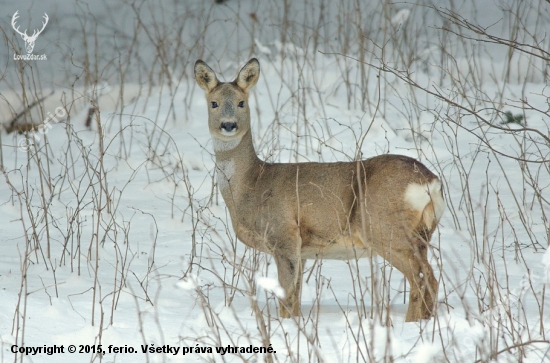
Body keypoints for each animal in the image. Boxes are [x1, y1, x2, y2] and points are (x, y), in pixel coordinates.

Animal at [196, 58, 446, 322]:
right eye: (214, 103)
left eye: (241, 102)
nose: (228, 125)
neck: (251, 184)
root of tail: (430, 181)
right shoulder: (302, 250)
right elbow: (295, 297)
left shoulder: (283, 235)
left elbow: (286, 297)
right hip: (422, 234)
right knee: (431, 277)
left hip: (386, 229)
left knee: (420, 277)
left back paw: (411, 322)